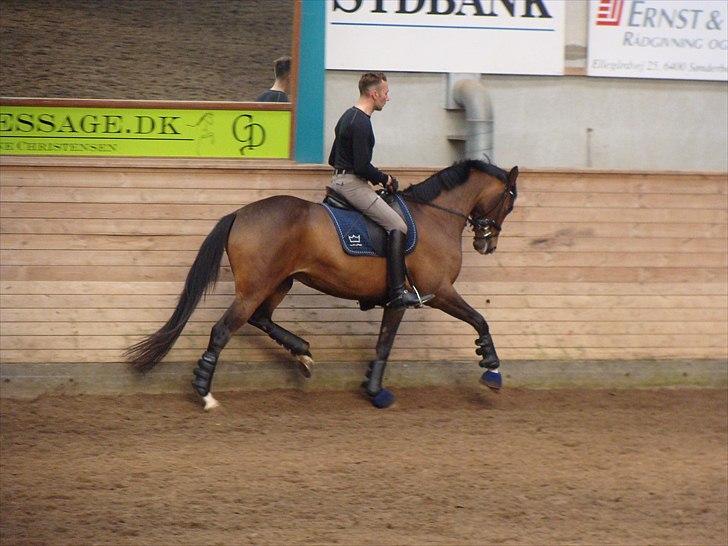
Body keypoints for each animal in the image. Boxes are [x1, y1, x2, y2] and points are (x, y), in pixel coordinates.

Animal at [129, 159, 516, 410]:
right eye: (510, 200)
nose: (487, 244)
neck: (434, 216)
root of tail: (240, 213)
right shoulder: (438, 292)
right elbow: (480, 320)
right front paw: (492, 370)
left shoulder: (397, 302)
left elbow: (384, 344)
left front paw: (374, 390)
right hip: (255, 288)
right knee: (223, 330)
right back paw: (205, 394)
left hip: (279, 283)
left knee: (261, 318)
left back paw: (302, 353)